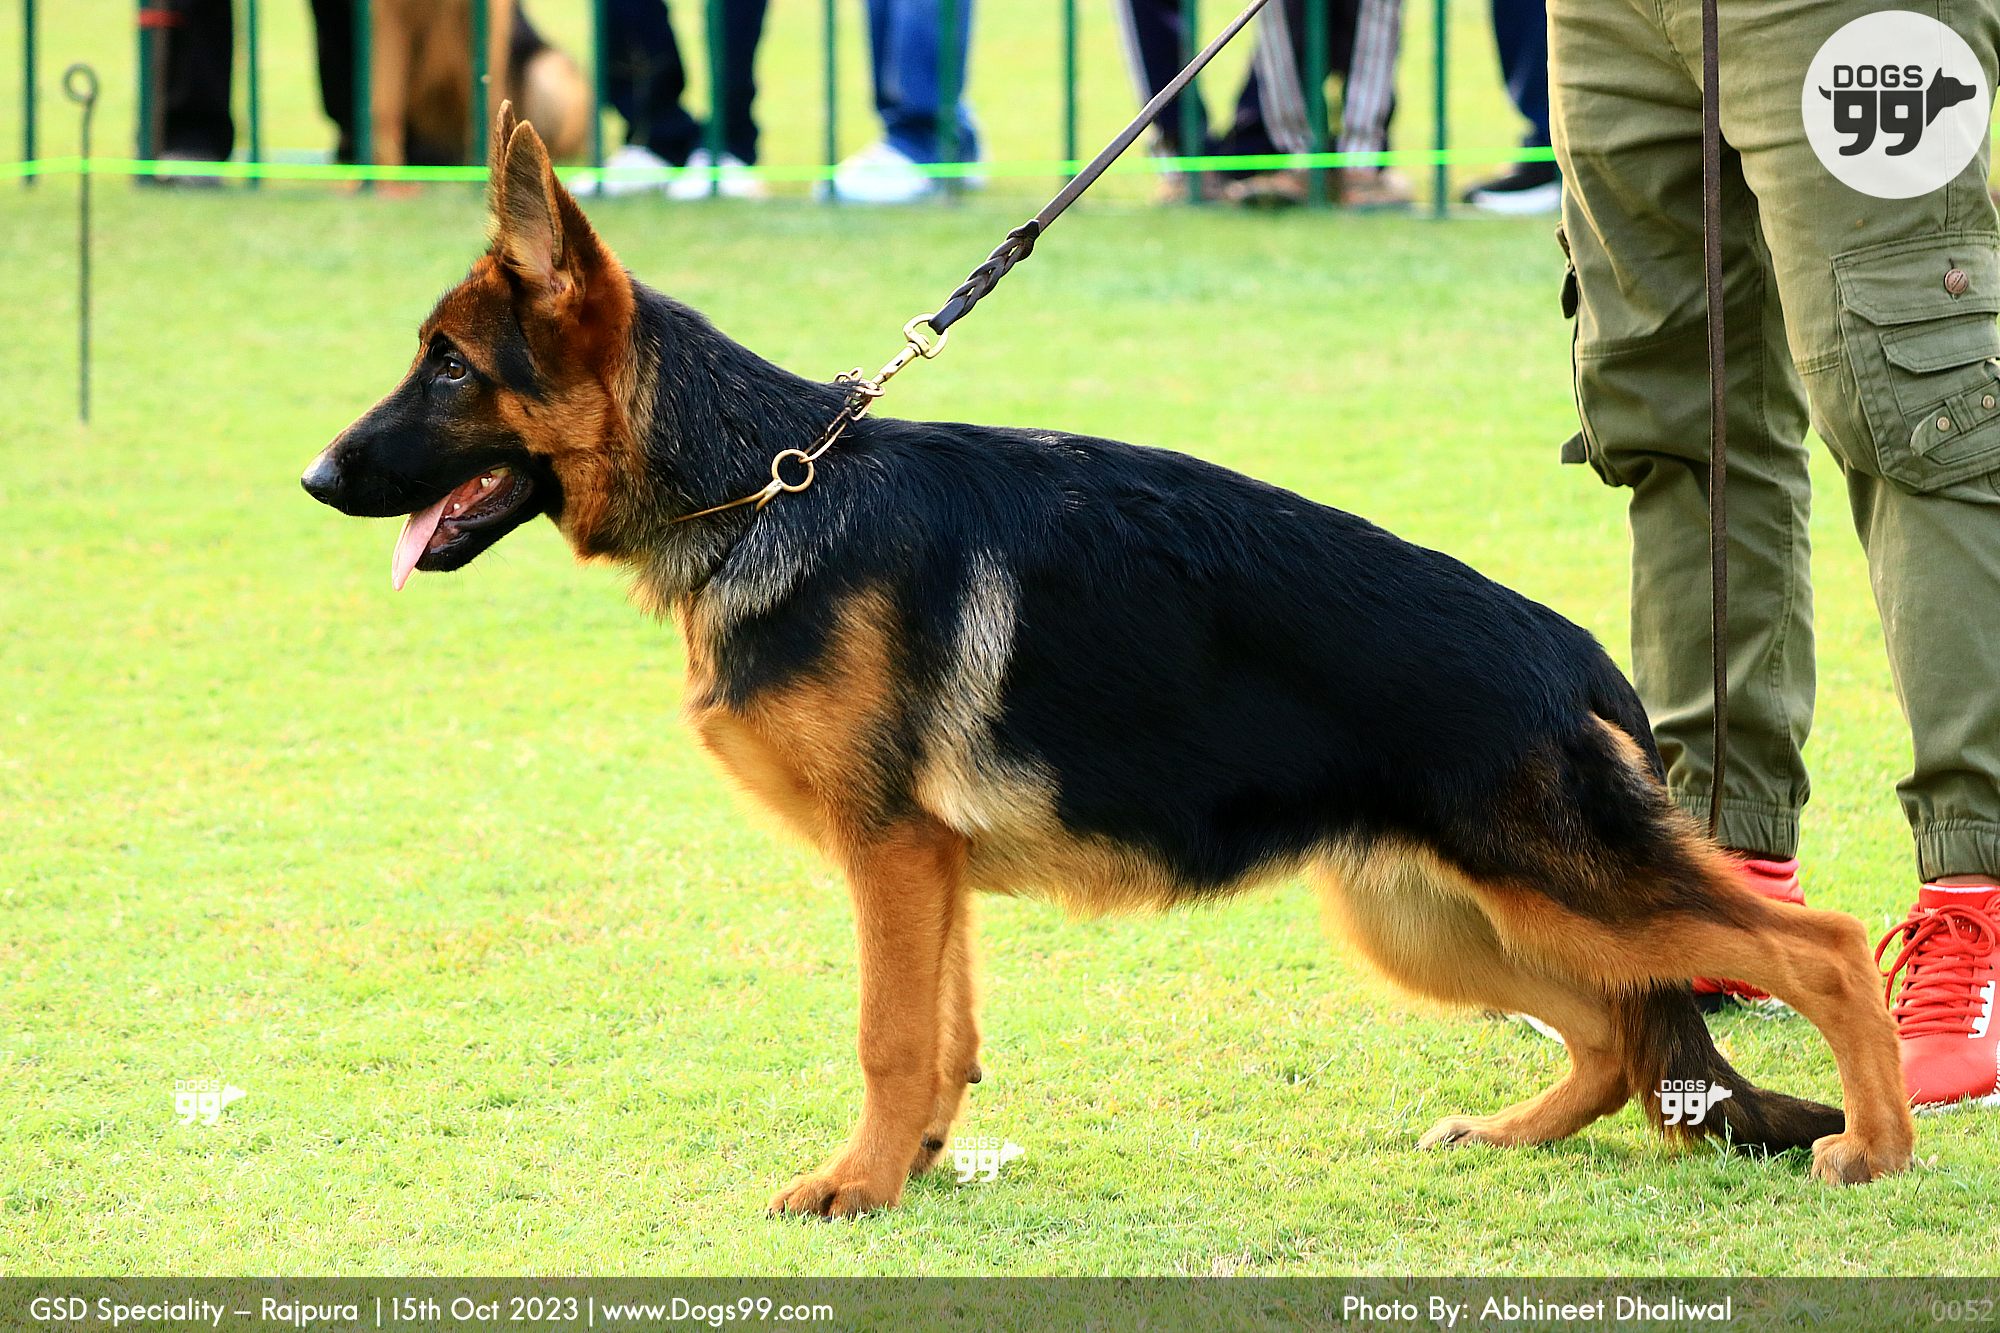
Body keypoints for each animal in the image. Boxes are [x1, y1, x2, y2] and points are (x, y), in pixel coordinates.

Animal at [301, 106, 1915, 1216]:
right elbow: (941, 1035)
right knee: (1618, 1033)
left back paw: (1876, 1148)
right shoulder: (925, 865)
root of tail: (1572, 652)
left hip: (1559, 883)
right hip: (1435, 915)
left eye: (449, 367)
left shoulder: (889, 852)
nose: (314, 478)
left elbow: (888, 1034)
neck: (768, 482)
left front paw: (856, 1187)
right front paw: (915, 1167)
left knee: (1818, 949)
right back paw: (1514, 1130)